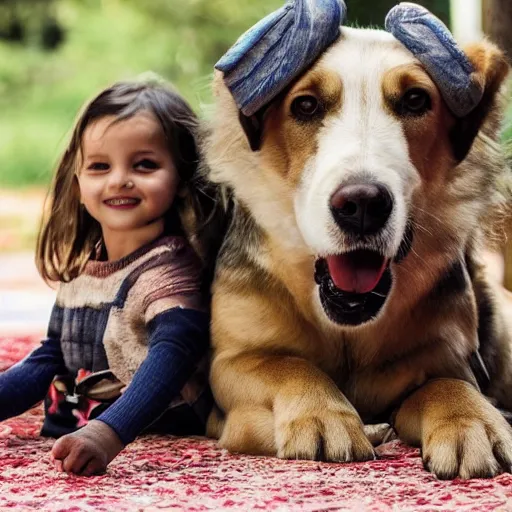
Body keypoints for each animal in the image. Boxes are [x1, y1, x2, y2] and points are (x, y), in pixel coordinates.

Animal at [202, 21, 512, 480]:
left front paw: (471, 422)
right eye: (306, 105)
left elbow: (448, 384)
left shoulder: (449, 356)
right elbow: (288, 365)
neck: (347, 328)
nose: (362, 204)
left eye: (416, 100)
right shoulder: (231, 360)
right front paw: (323, 416)